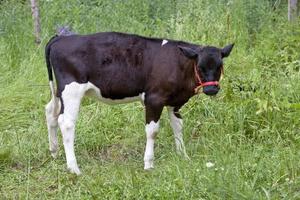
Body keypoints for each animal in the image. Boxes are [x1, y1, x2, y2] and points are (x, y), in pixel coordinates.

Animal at [44, 30, 233, 174]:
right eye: (200, 67)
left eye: (219, 66)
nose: (212, 89)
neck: (179, 64)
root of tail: (61, 38)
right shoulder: (154, 99)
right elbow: (152, 131)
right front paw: (148, 164)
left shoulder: (175, 101)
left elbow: (178, 126)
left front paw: (182, 155)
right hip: (72, 90)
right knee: (66, 123)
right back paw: (74, 168)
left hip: (59, 92)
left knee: (50, 112)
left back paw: (54, 152)